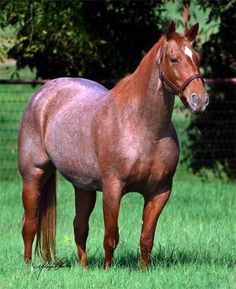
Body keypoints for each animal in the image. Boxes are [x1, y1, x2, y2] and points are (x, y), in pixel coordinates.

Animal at [19, 22, 209, 268]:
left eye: (197, 57)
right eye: (174, 59)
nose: (200, 99)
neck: (142, 126)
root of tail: (43, 93)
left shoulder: (159, 191)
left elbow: (146, 237)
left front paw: (144, 270)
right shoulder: (113, 189)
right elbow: (111, 236)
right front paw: (107, 269)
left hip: (83, 186)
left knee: (79, 226)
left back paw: (84, 268)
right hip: (33, 175)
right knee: (30, 224)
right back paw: (28, 267)